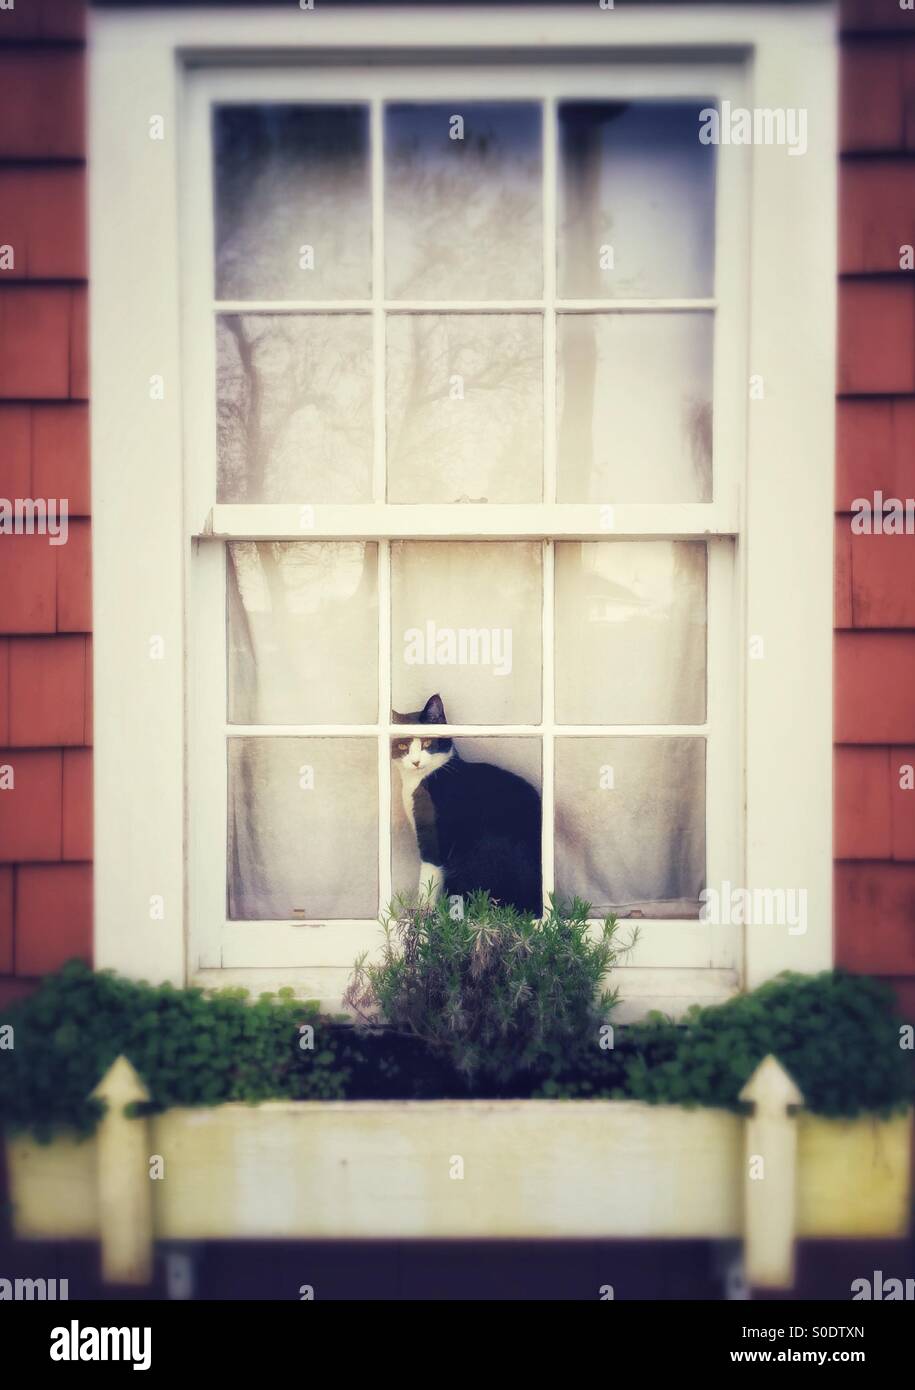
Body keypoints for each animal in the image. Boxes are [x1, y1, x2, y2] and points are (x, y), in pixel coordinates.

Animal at [392, 692, 542, 911]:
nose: (415, 761)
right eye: (403, 745)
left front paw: (423, 909)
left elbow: (430, 870)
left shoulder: (433, 836)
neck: (419, 780)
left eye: (428, 742)